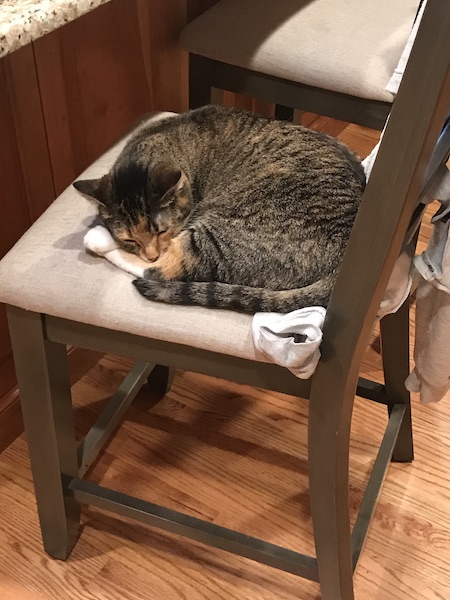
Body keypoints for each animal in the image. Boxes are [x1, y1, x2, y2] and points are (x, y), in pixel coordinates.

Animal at [74, 104, 364, 314]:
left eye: (161, 231)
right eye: (131, 240)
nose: (150, 253)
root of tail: (341, 265)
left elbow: (157, 267)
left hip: (215, 237)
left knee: (161, 272)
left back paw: (98, 240)